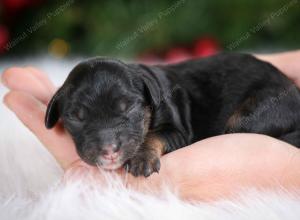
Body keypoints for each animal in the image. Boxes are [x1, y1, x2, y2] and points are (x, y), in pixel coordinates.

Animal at [44, 52, 300, 177]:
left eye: (128, 107)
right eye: (76, 117)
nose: (108, 151)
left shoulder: (176, 130)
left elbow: (152, 136)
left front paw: (141, 159)